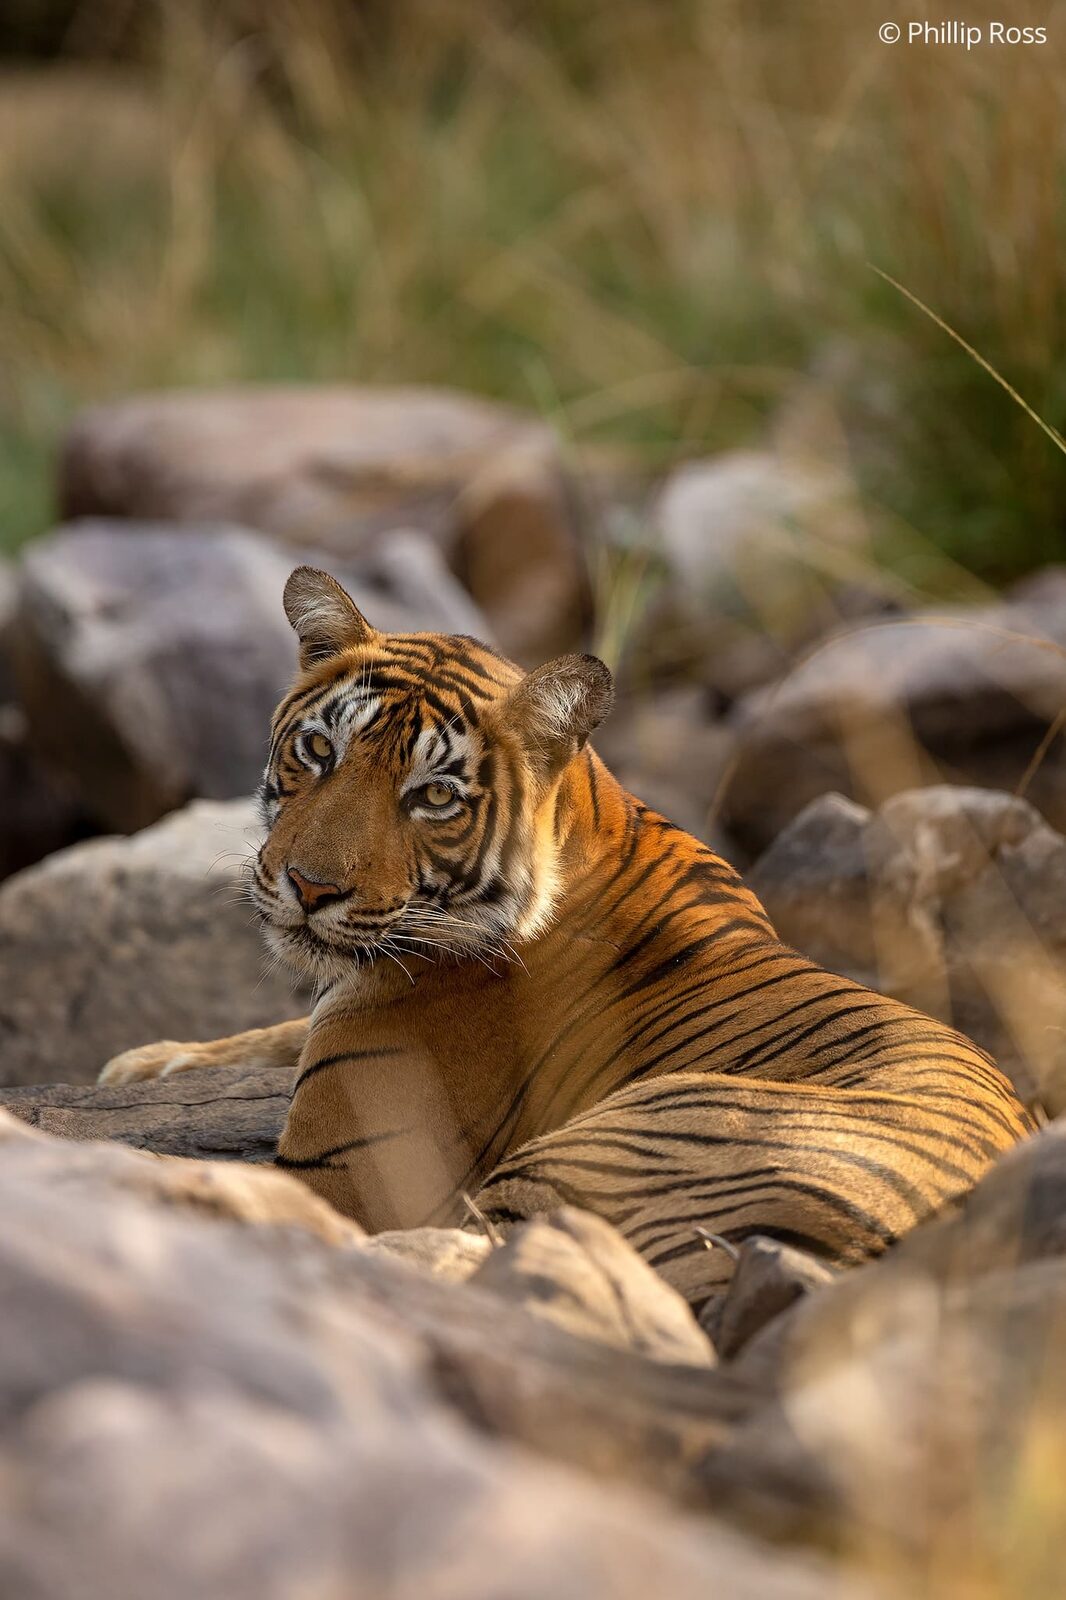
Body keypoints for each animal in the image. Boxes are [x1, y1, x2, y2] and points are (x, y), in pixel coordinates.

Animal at [100, 565, 1033, 1312]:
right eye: (319, 749)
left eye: (434, 797)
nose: (309, 888)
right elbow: (269, 1032)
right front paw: (146, 1063)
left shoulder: (352, 1173)